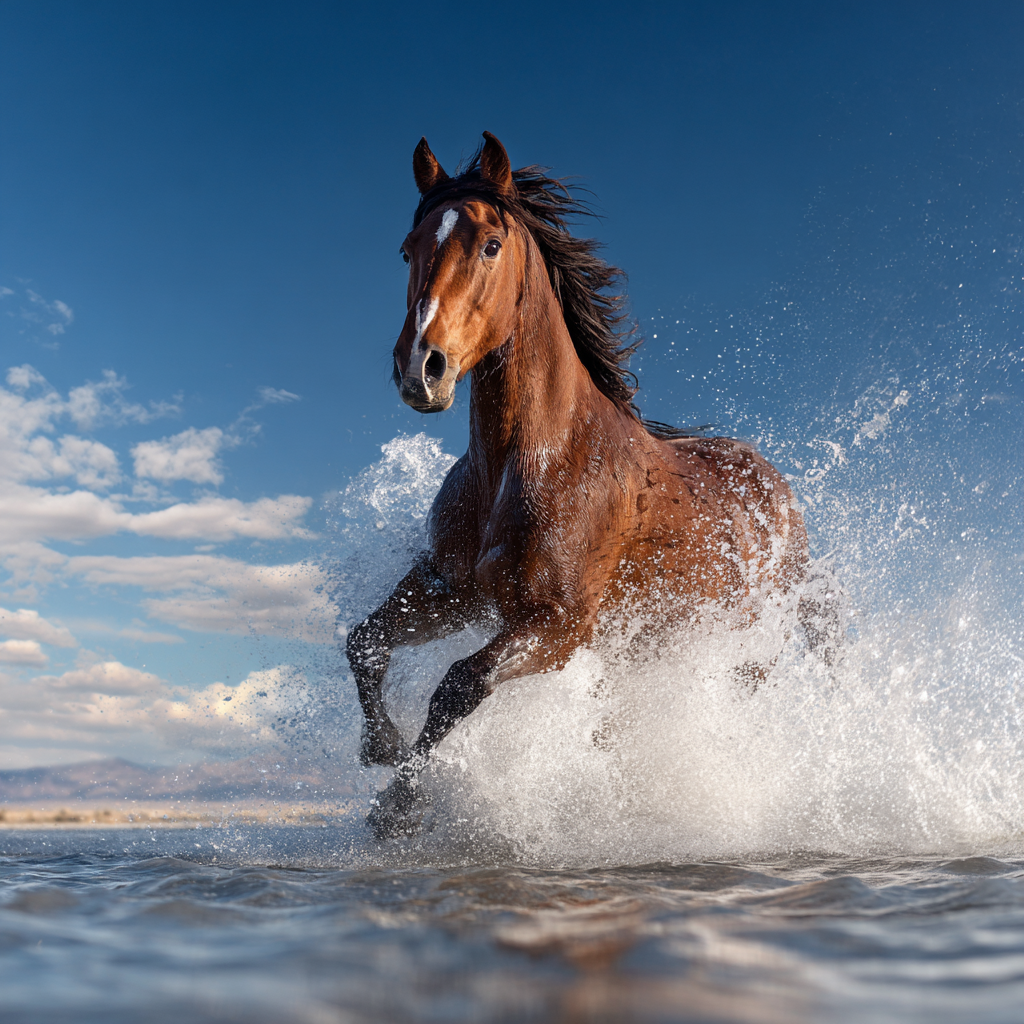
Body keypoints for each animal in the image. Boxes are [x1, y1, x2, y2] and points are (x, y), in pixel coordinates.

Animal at [347, 132, 811, 839]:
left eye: (490, 245)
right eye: (407, 248)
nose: (419, 368)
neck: (541, 458)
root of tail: (778, 490)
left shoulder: (559, 625)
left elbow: (459, 684)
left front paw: (399, 803)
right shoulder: (453, 592)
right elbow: (364, 642)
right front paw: (382, 748)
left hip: (748, 643)